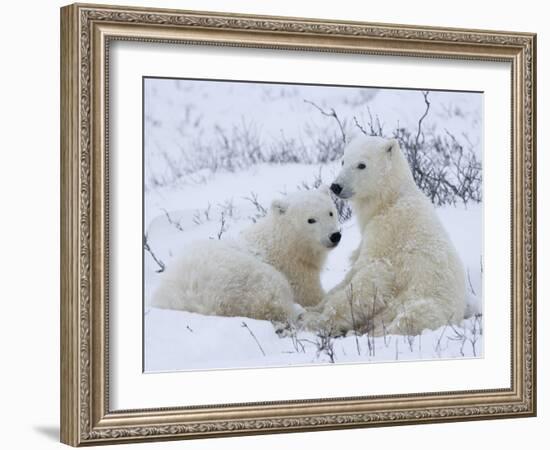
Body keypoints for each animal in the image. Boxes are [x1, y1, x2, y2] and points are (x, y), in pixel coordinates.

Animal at [151, 187, 340, 324]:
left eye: (330, 212)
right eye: (311, 220)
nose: (335, 235)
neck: (283, 245)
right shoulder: (295, 272)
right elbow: (312, 296)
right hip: (243, 280)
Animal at [308, 135, 468, 336]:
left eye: (362, 165)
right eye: (343, 160)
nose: (336, 186)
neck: (390, 200)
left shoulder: (386, 232)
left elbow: (370, 276)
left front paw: (317, 318)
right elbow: (352, 272)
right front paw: (314, 307)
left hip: (425, 303)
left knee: (407, 319)